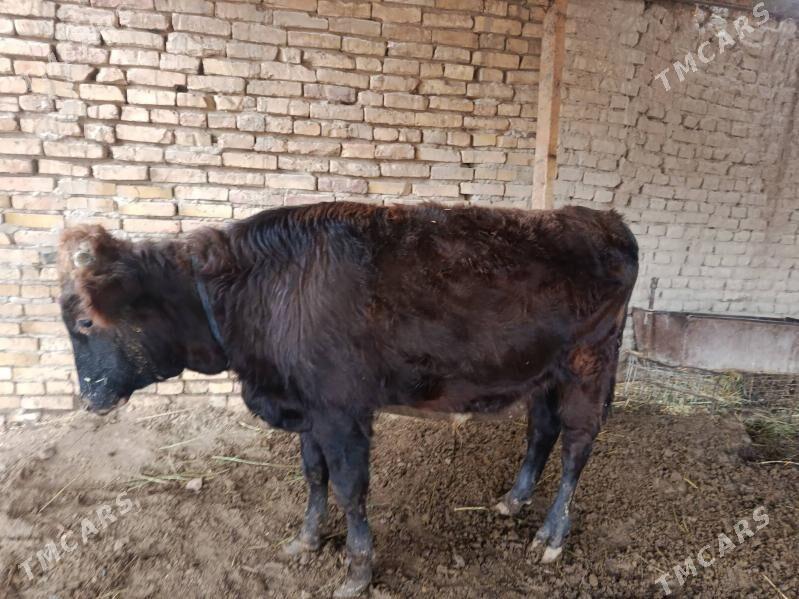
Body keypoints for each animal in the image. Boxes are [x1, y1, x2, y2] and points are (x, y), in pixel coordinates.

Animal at [58, 201, 638, 598]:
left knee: (578, 444)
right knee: (542, 430)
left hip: (589, 363)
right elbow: (314, 477)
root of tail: (603, 220)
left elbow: (349, 488)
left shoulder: (341, 412)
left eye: (85, 322)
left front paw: (358, 571)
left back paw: (552, 534)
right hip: (542, 371)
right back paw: (513, 501)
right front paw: (306, 541)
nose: (91, 401)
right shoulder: (308, 410)